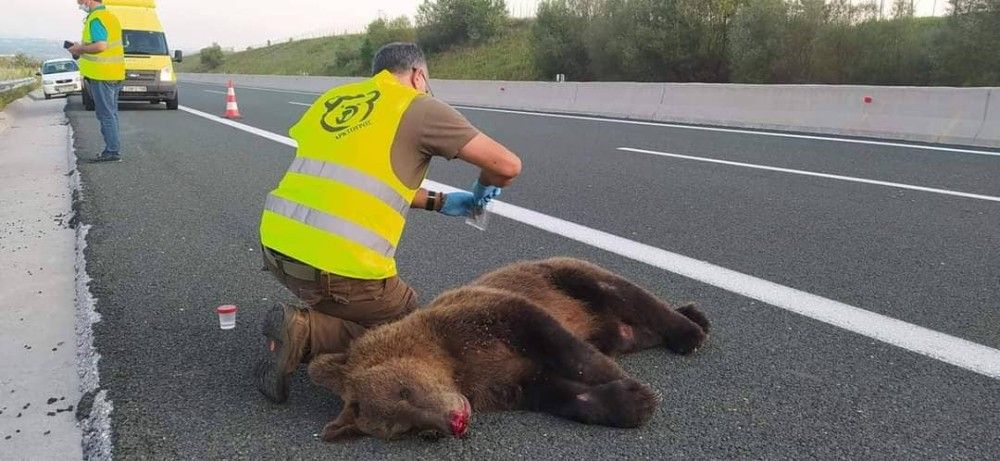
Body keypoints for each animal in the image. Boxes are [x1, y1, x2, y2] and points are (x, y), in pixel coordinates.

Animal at [308, 256, 708, 440]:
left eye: (404, 390)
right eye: (409, 429)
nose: (456, 421)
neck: (455, 366)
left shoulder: (486, 319)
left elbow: (561, 344)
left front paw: (631, 385)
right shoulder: (507, 383)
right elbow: (560, 393)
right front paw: (630, 402)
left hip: (560, 275)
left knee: (620, 290)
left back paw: (690, 327)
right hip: (614, 331)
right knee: (629, 328)